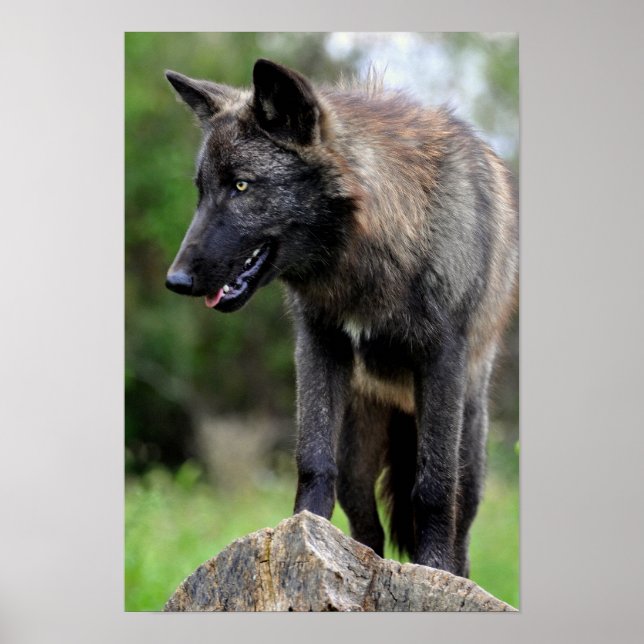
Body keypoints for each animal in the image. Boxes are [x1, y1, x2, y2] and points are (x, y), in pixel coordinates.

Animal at [164, 59, 518, 577]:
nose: (176, 280)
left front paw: (431, 568)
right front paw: (300, 535)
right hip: (356, 456)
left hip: (470, 450)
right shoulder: (318, 344)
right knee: (366, 524)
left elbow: (432, 488)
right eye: (201, 192)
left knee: (458, 518)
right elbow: (312, 459)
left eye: (242, 186)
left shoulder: (442, 360)